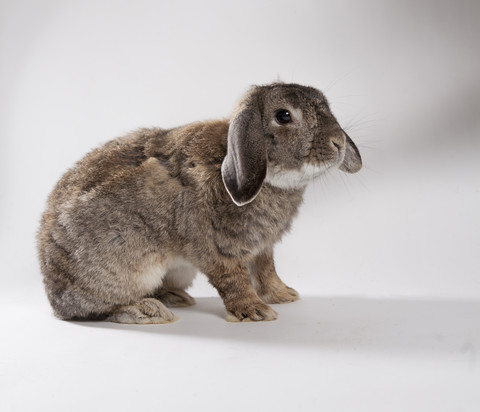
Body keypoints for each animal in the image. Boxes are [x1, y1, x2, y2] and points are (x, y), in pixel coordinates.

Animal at [36, 82, 360, 324]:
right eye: (283, 116)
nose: (339, 143)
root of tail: (53, 292)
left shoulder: (261, 249)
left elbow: (266, 271)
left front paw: (283, 295)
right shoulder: (213, 249)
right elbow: (233, 279)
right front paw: (255, 311)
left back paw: (172, 297)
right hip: (125, 269)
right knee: (96, 308)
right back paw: (145, 310)